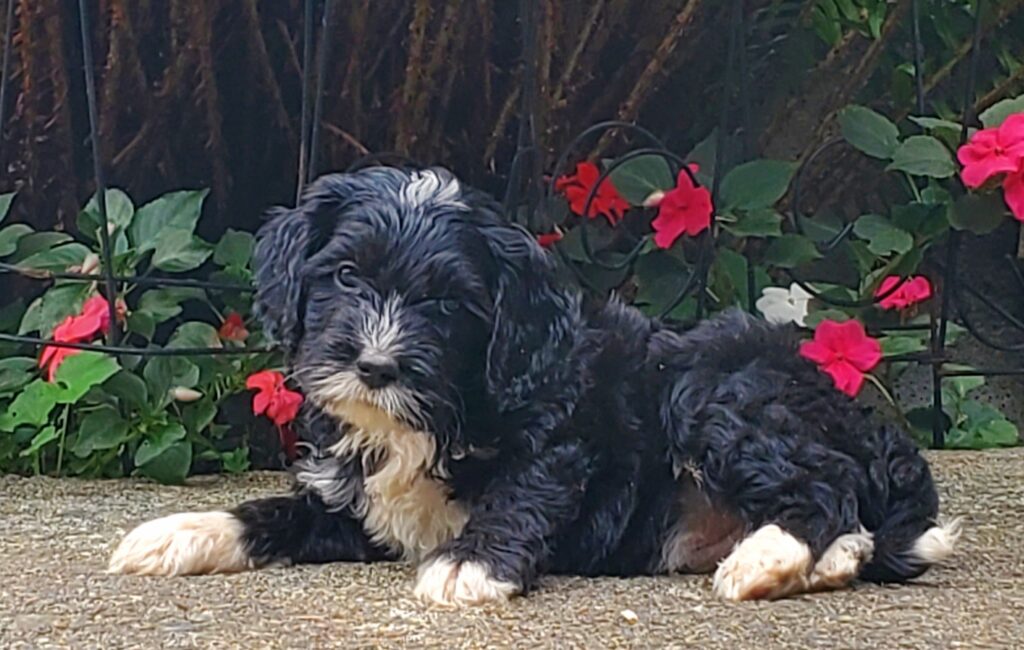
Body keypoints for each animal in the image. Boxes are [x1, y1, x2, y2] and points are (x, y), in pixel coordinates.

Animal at [112, 166, 958, 605]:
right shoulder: (354, 510)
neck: (425, 419)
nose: (375, 367)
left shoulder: (562, 441)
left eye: (447, 306)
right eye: (346, 276)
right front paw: (182, 533)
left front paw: (470, 564)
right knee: (856, 518)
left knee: (826, 483)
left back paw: (768, 560)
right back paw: (826, 560)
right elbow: (275, 511)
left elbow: (524, 491)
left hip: (713, 390)